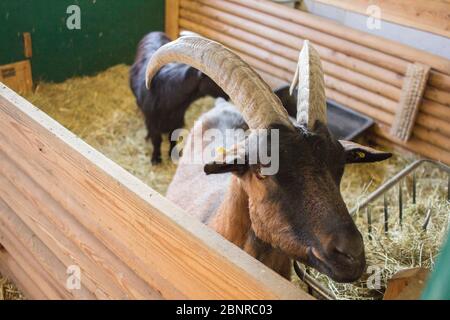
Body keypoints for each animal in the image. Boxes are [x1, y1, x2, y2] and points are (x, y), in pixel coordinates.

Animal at [130, 32, 229, 164]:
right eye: (215, 80)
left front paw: (174, 155)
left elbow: (173, 137)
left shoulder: (177, 119)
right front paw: (156, 159)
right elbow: (156, 140)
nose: (227, 95)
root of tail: (154, 32)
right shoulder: (152, 121)